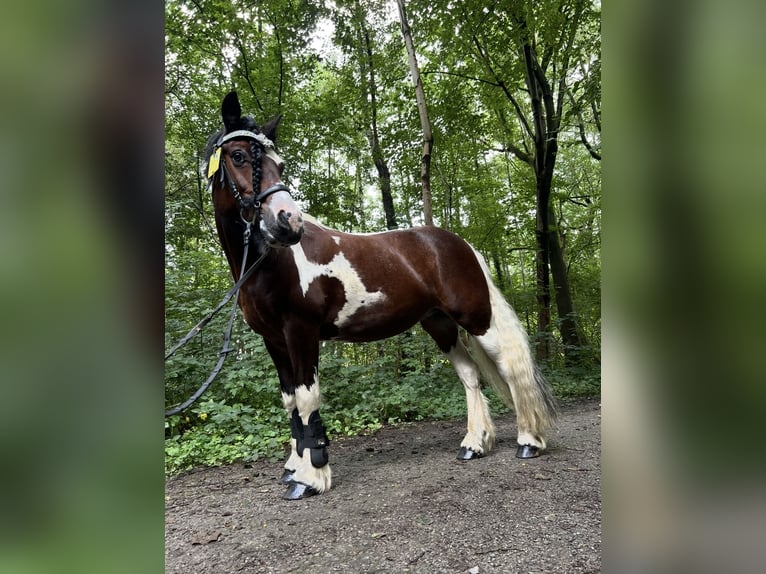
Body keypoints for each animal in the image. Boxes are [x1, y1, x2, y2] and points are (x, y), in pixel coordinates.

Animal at [203, 91, 557, 500]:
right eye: (238, 156)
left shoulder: (301, 332)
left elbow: (307, 399)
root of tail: (460, 244)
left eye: (280, 163)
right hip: (438, 323)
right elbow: (290, 401)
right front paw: (293, 467)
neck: (273, 263)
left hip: (477, 319)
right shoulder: (273, 340)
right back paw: (474, 443)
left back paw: (529, 441)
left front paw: (310, 477)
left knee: (511, 370)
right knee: (470, 374)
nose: (288, 221)